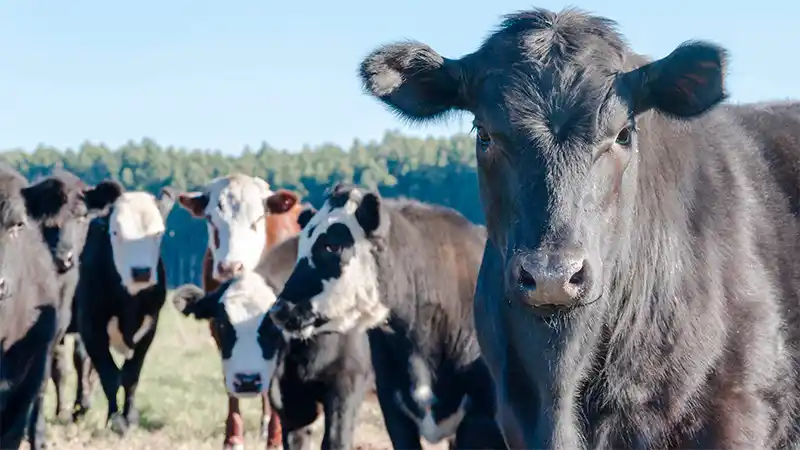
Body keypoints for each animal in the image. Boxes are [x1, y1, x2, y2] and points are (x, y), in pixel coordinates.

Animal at [71, 184, 176, 434]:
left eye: (158, 233)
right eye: (116, 232)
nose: (141, 272)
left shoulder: (150, 327)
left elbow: (130, 376)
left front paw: (130, 417)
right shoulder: (92, 326)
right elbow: (110, 376)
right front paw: (115, 420)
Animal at [172, 229, 374, 450]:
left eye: (272, 324)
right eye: (221, 324)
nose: (247, 381)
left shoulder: (347, 382)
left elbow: (336, 440)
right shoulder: (292, 403)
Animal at [176, 174, 303, 450]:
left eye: (257, 219)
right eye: (211, 219)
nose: (230, 267)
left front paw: (276, 438)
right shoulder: (219, 327)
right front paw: (233, 437)